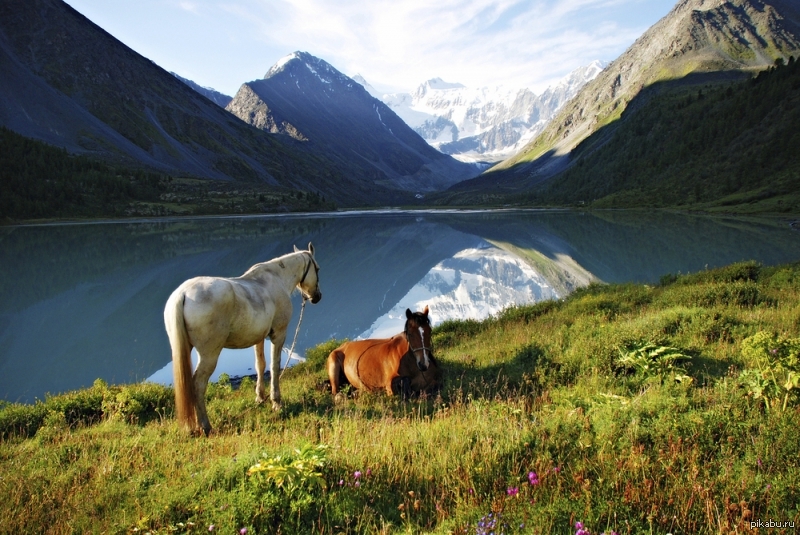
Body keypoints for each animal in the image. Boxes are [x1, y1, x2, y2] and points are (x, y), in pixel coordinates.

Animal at [162, 243, 322, 436]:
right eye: (317, 269)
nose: (317, 297)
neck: (276, 279)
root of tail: (183, 294)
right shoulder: (278, 335)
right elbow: (275, 367)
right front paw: (276, 402)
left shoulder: (259, 338)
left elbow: (260, 365)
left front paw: (260, 397)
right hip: (209, 355)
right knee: (198, 385)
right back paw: (205, 426)